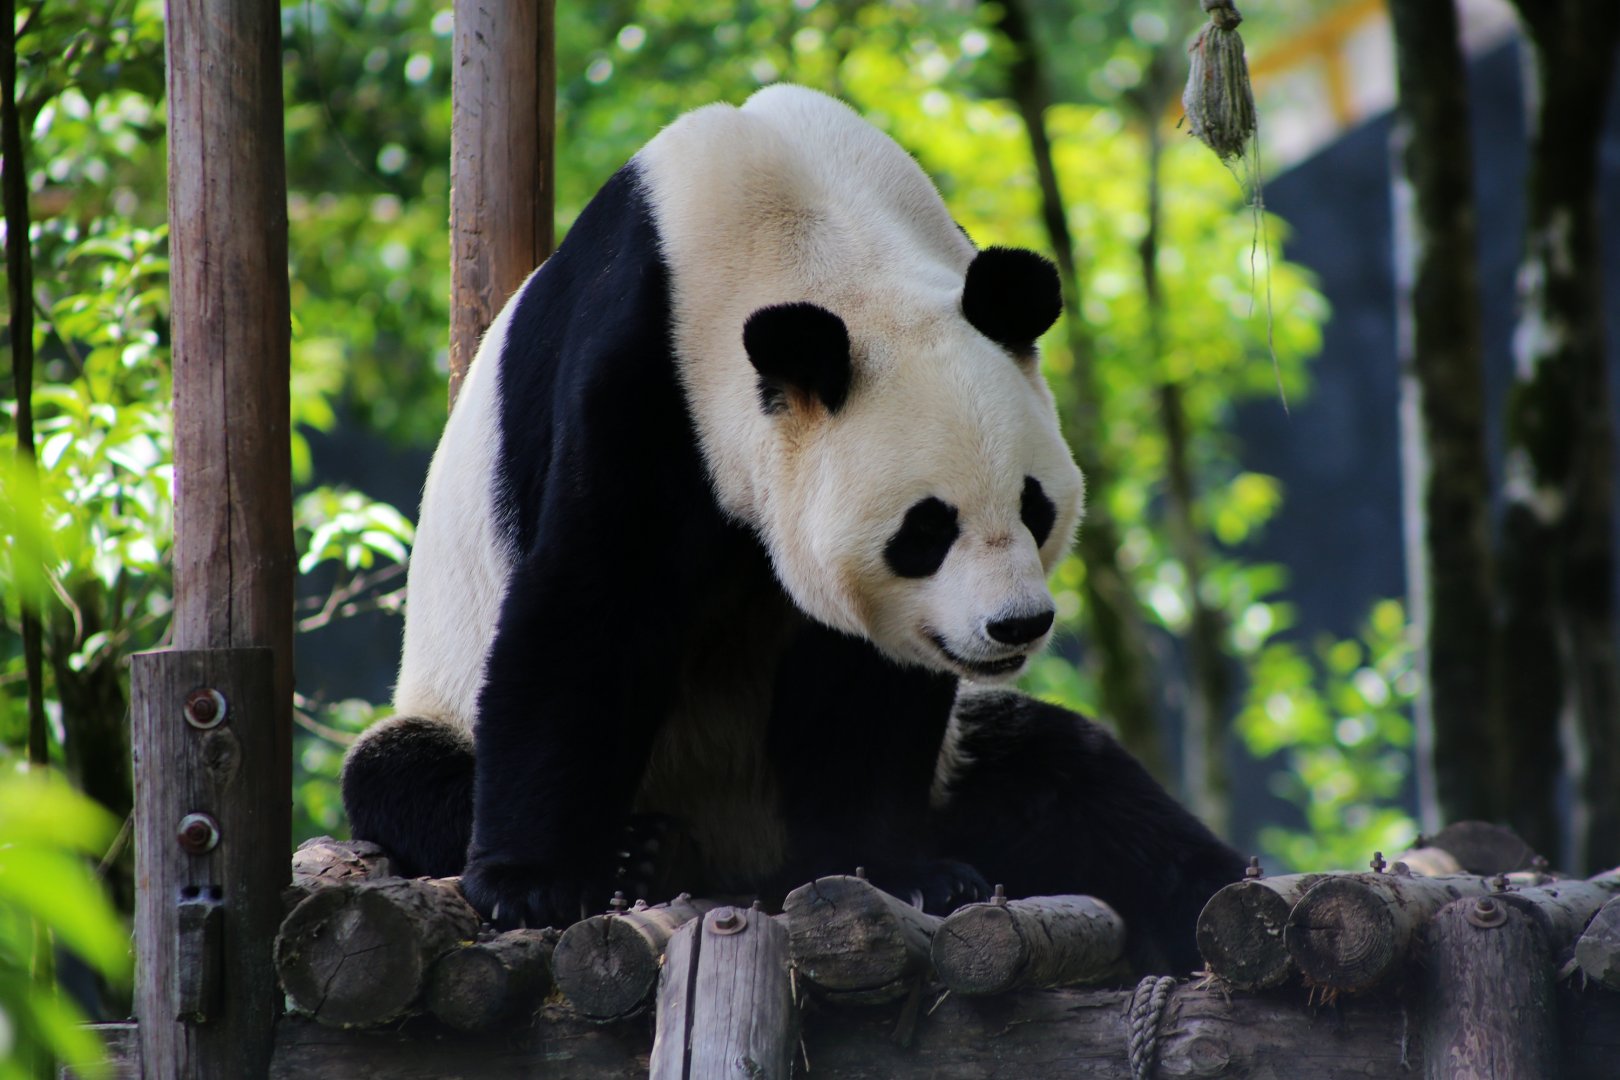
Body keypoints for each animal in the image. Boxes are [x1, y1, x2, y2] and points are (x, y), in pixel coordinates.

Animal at [342, 84, 1242, 973]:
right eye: (926, 530)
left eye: (1034, 507)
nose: (1015, 625)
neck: (809, 234)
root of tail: (739, 859)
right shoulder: (645, 372)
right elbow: (593, 605)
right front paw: (534, 884)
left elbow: (867, 682)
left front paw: (897, 871)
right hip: (446, 700)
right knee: (395, 773)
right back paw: (637, 854)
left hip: (957, 767)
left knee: (1067, 777)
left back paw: (1213, 892)